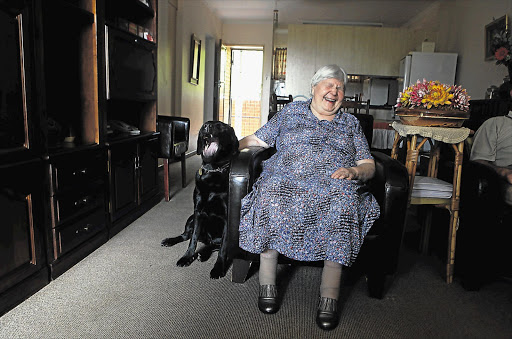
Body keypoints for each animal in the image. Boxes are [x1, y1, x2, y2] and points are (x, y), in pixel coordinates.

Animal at [161, 121, 239, 280]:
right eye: (205, 125)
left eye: (221, 126)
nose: (206, 127)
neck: (213, 170)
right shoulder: (198, 212)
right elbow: (193, 239)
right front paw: (187, 257)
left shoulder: (228, 219)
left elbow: (223, 248)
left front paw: (218, 268)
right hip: (191, 218)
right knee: (186, 235)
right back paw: (172, 241)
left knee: (215, 245)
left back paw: (204, 254)